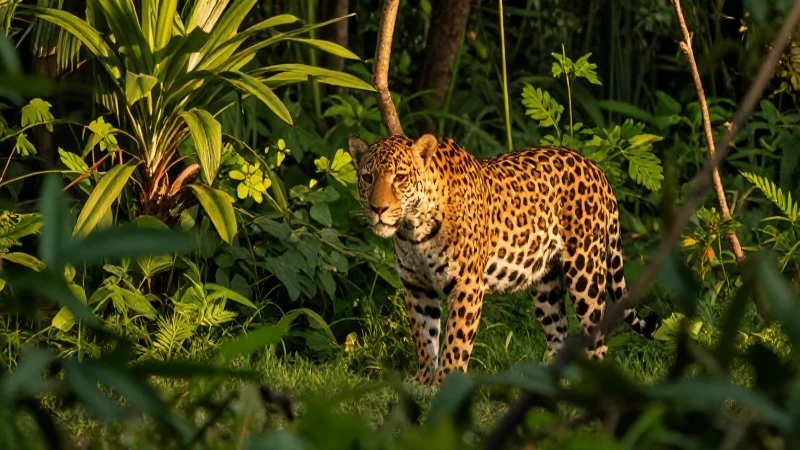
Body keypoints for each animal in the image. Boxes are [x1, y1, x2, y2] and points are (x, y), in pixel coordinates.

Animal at [348, 134, 660, 387]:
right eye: (367, 177)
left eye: (400, 177)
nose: (378, 209)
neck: (413, 229)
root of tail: (595, 167)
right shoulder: (416, 286)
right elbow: (425, 338)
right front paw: (423, 382)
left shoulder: (467, 286)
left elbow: (455, 342)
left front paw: (443, 386)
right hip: (546, 284)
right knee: (558, 331)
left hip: (586, 274)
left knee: (597, 334)